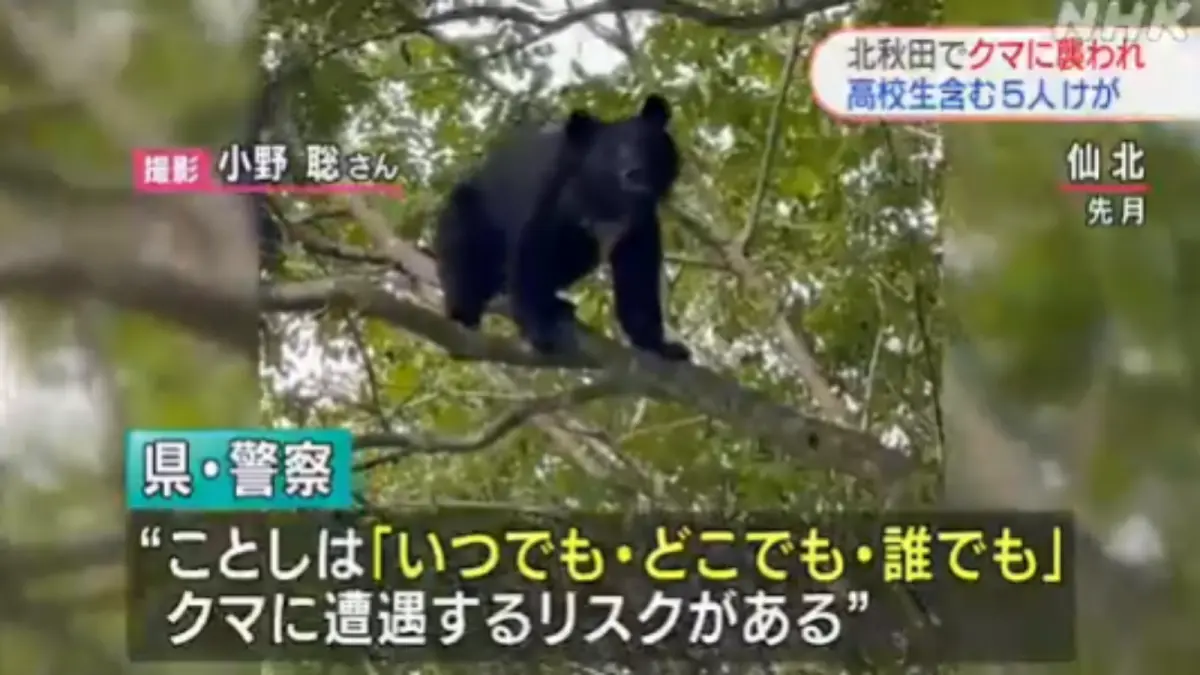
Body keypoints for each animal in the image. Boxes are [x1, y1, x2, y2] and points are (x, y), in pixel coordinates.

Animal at [432, 94, 690, 362]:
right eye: (612, 151)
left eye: (645, 143)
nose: (634, 173)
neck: (608, 203)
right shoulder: (552, 194)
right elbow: (532, 252)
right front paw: (539, 331)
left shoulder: (638, 224)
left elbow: (638, 279)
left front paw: (664, 347)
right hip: (470, 213)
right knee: (463, 253)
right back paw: (464, 315)